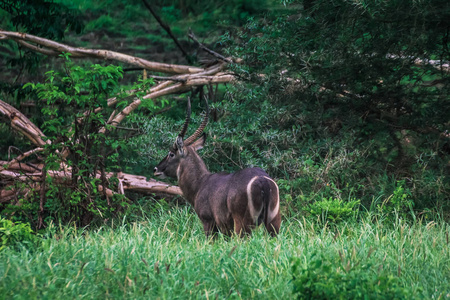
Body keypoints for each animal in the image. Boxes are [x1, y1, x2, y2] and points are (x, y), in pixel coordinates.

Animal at [156, 98, 282, 237]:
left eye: (171, 154)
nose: (156, 169)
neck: (200, 183)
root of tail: (262, 180)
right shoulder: (226, 229)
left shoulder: (208, 221)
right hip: (273, 222)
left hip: (242, 223)